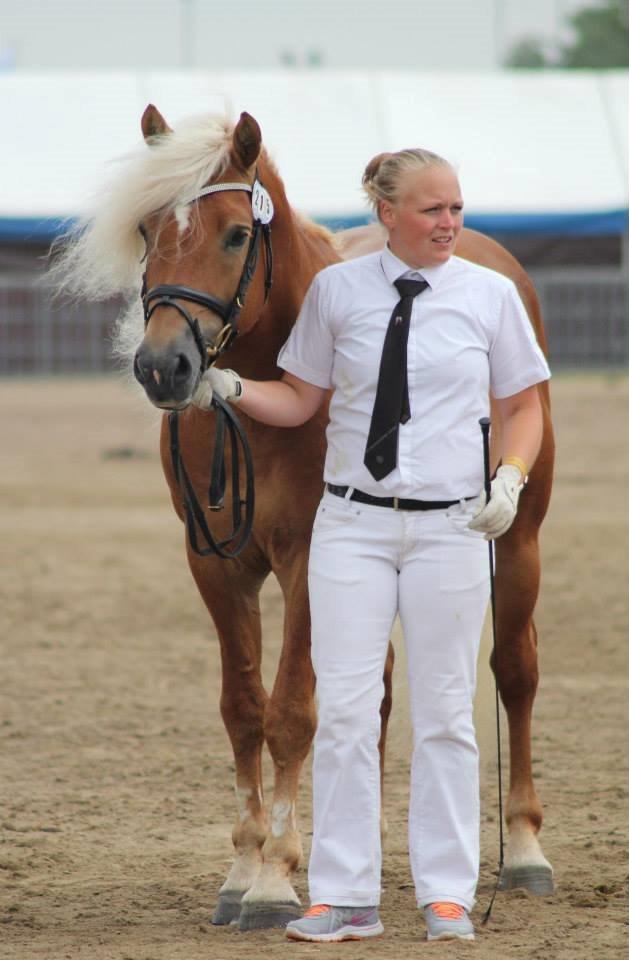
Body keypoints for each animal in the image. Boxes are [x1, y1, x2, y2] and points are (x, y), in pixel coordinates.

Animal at [54, 105, 556, 928]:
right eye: (150, 230)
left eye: (235, 234)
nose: (164, 368)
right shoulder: (215, 564)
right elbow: (242, 707)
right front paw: (243, 867)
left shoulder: (305, 560)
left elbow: (291, 710)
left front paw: (271, 879)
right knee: (377, 689)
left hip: (517, 546)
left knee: (514, 673)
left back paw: (523, 852)